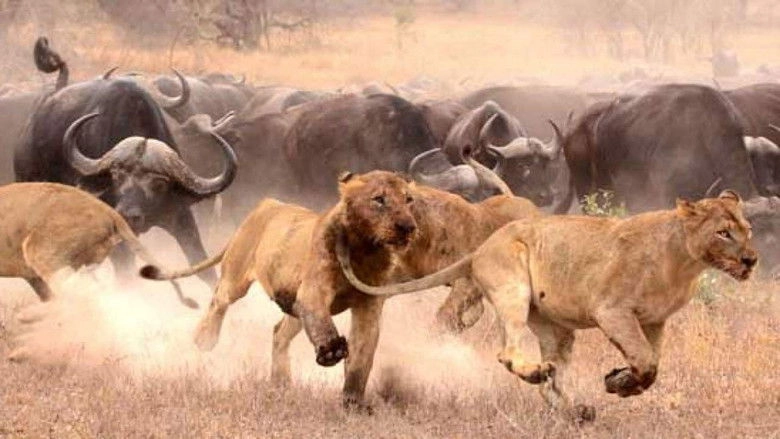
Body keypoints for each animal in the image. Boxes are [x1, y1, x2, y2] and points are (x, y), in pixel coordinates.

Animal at [140, 170, 540, 409]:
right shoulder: (315, 293)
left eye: (407, 200)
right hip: (238, 277)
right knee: (219, 302)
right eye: (379, 199)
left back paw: (281, 383)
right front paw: (333, 353)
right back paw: (204, 340)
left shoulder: (370, 305)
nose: (407, 227)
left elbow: (364, 354)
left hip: (292, 308)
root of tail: (267, 203)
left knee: (279, 332)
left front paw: (353, 401)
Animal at [338, 190, 757, 420]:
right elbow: (646, 360)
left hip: (557, 329)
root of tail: (481, 248)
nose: (752, 259)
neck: (684, 263)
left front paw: (619, 381)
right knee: (509, 353)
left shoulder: (654, 321)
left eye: (747, 230)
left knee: (552, 381)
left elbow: (650, 364)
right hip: (513, 290)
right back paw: (536, 373)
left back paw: (575, 410)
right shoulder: (612, 311)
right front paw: (620, 382)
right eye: (724, 233)